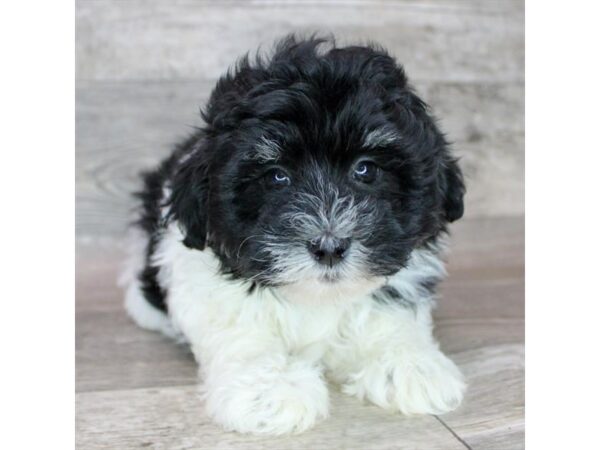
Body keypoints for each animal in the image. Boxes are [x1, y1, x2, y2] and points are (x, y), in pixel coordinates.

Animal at [123, 36, 468, 436]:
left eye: (365, 169)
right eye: (277, 176)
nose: (329, 246)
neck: (314, 297)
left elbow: (391, 316)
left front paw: (408, 364)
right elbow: (243, 332)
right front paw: (270, 389)